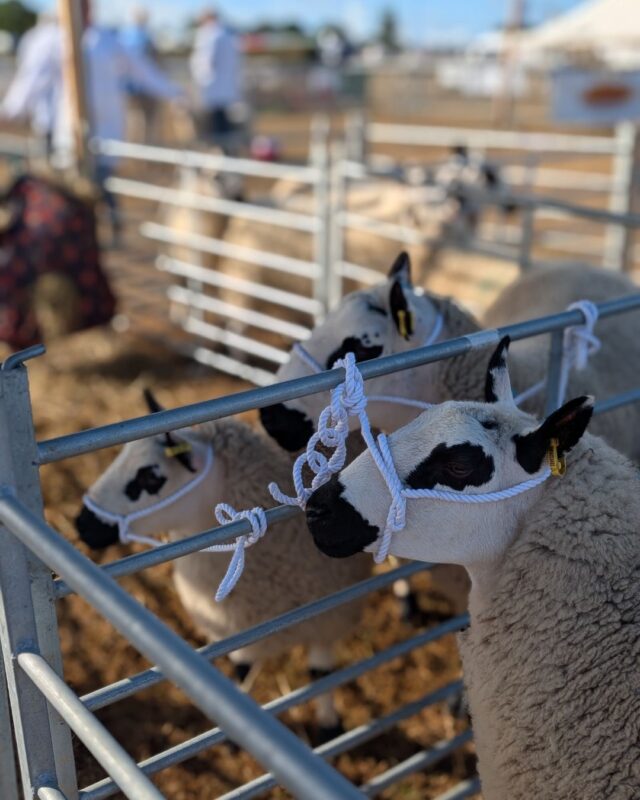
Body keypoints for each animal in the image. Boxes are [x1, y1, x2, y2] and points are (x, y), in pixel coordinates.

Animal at [74, 390, 370, 739]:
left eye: (149, 476)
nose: (81, 524)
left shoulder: (329, 616)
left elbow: (321, 674)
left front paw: (329, 727)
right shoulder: (232, 627)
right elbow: (240, 672)